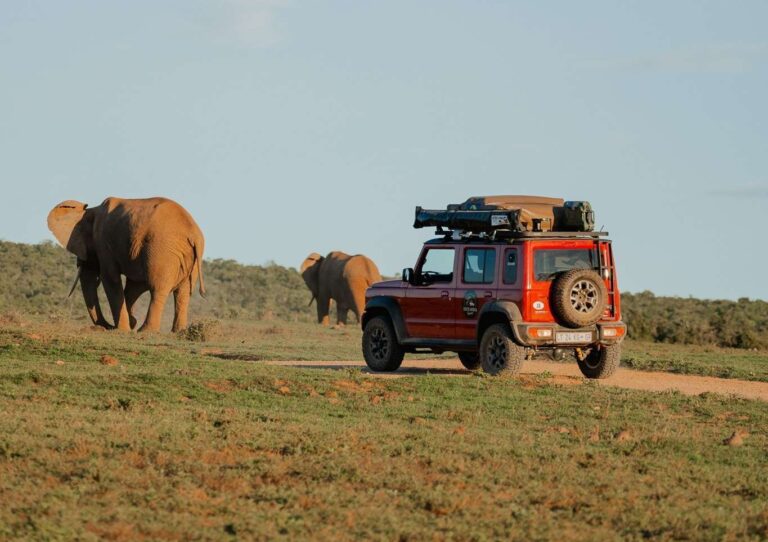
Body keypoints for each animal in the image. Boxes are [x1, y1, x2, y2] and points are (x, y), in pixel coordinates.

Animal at [47, 197, 206, 332]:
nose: (107, 327)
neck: (91, 210)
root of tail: (194, 234)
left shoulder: (103, 242)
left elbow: (110, 278)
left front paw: (123, 329)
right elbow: (135, 284)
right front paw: (130, 322)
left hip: (162, 250)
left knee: (157, 288)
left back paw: (146, 331)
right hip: (188, 256)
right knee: (183, 292)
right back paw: (178, 333)